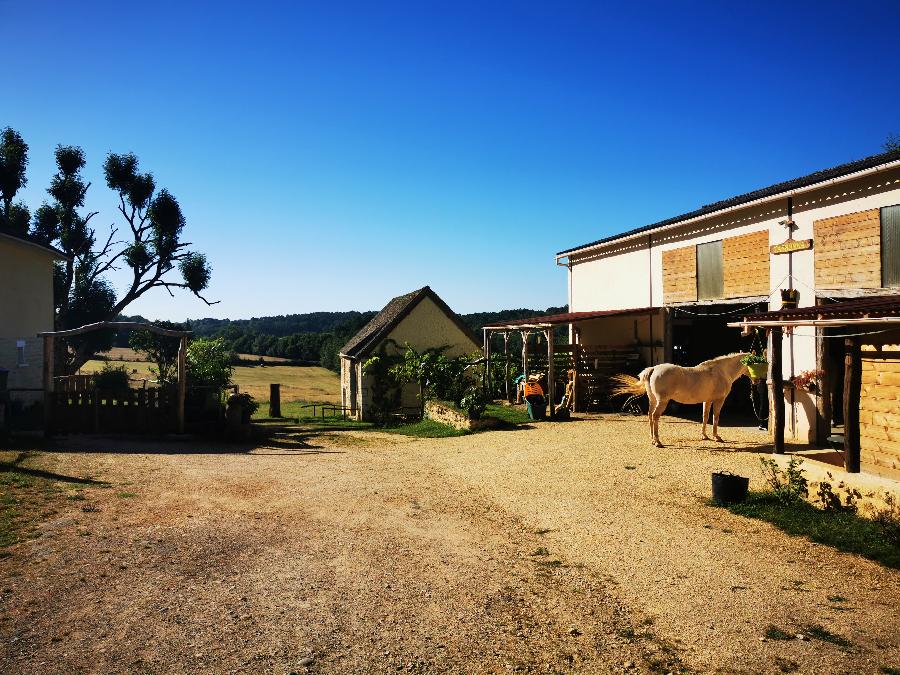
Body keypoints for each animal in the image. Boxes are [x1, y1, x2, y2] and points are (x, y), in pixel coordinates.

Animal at [612, 354, 752, 448]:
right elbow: (715, 417)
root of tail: (653, 369)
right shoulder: (719, 400)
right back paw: (658, 442)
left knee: (650, 416)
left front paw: (704, 436)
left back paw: (652, 439)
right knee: (655, 416)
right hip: (662, 401)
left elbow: (705, 417)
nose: (756, 381)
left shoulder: (707, 401)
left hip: (653, 400)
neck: (722, 371)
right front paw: (716, 437)